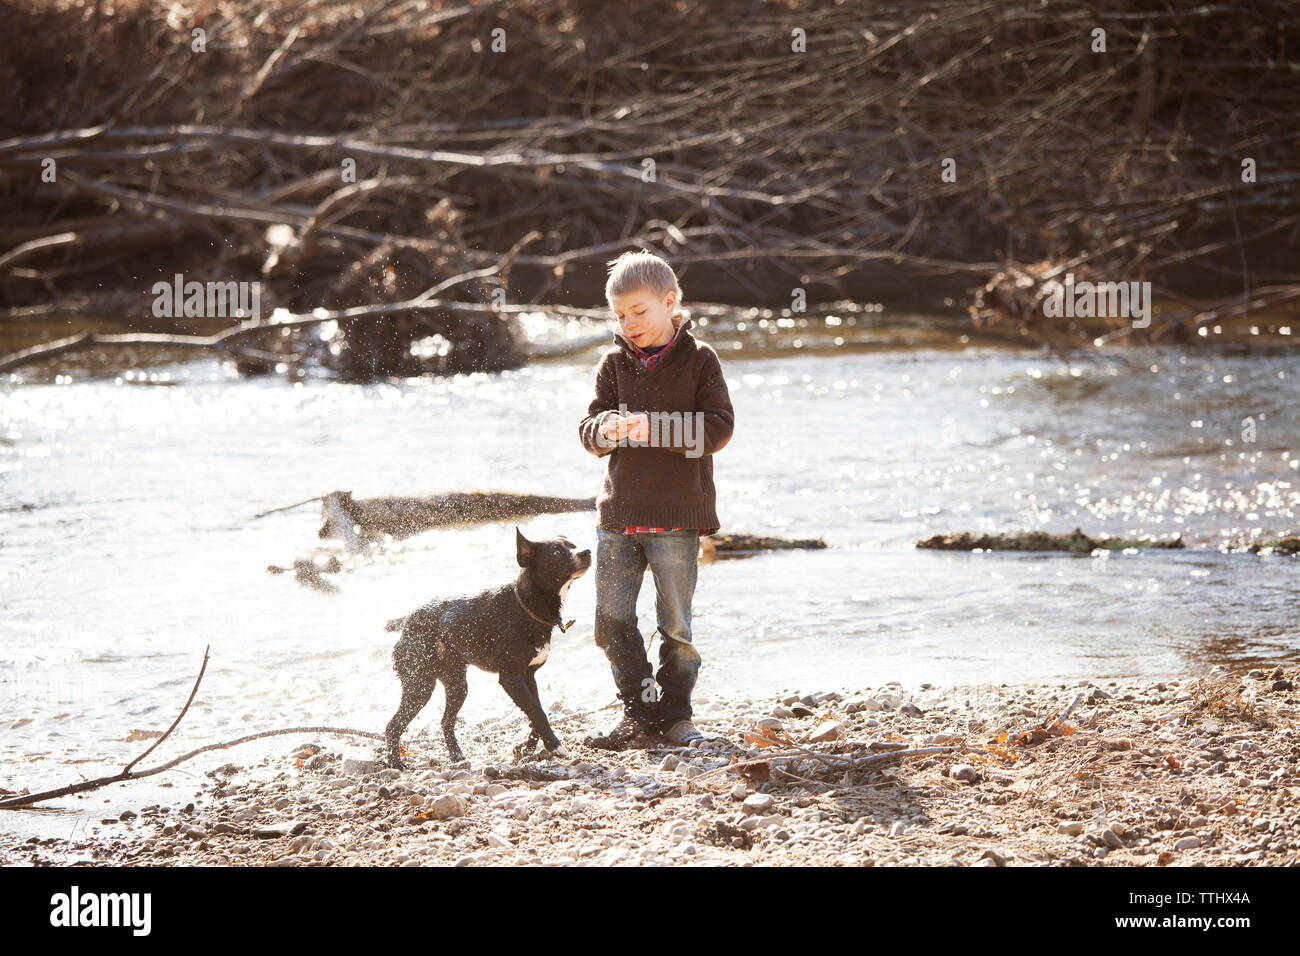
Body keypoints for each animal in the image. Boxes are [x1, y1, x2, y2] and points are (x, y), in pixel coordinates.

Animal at [382, 528, 592, 764]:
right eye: (556, 552)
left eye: (573, 545)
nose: (586, 552)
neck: (526, 606)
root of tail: (406, 622)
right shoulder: (511, 679)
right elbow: (537, 713)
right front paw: (554, 745)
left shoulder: (529, 676)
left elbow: (535, 711)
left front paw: (526, 747)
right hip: (420, 684)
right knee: (393, 725)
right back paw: (396, 763)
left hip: (456, 685)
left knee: (446, 721)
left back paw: (456, 755)